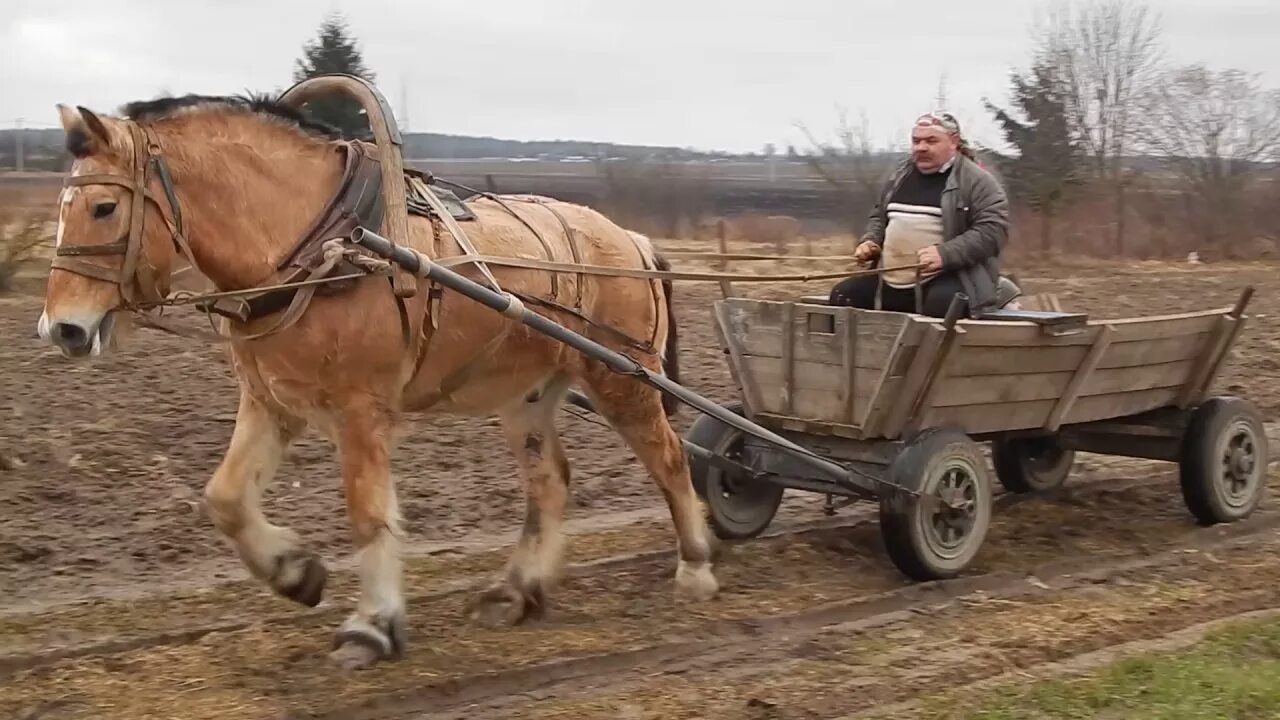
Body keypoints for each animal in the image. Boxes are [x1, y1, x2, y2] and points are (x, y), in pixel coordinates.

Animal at [37, 92, 721, 671]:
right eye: (63, 207)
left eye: (104, 207)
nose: (62, 328)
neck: (323, 242)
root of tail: (628, 239)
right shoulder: (270, 402)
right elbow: (225, 498)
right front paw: (295, 572)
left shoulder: (360, 410)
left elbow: (368, 514)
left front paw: (371, 624)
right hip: (528, 391)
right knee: (550, 481)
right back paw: (516, 590)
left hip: (622, 377)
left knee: (668, 459)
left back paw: (695, 567)